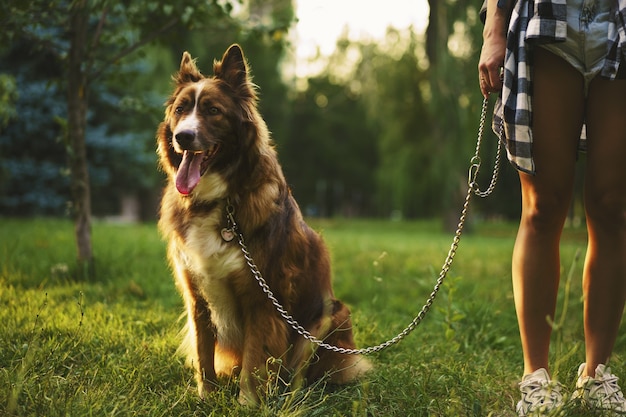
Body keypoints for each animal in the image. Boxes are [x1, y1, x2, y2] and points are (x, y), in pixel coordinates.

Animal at [157, 44, 370, 404]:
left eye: (213, 110)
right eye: (181, 110)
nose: (182, 137)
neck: (221, 200)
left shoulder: (262, 297)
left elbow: (255, 356)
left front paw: (248, 402)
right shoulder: (196, 296)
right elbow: (203, 352)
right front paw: (206, 397)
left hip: (330, 315)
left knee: (302, 373)